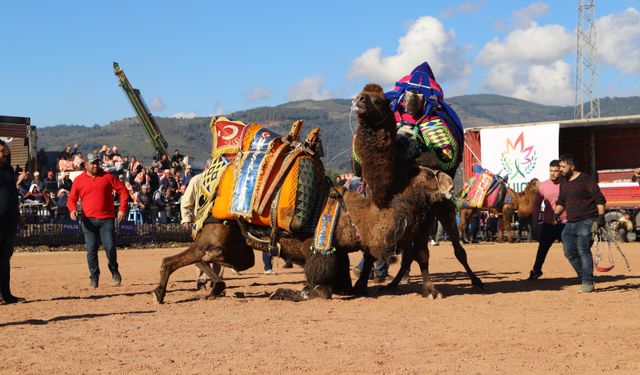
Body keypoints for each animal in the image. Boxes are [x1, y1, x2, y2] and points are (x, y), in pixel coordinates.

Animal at [352, 83, 482, 298]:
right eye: (361, 94)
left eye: (378, 100)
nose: (359, 99)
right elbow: (371, 252)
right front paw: (360, 286)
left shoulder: (423, 218)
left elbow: (422, 254)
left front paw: (430, 290)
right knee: (407, 255)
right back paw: (392, 284)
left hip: (445, 212)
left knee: (457, 249)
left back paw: (477, 280)